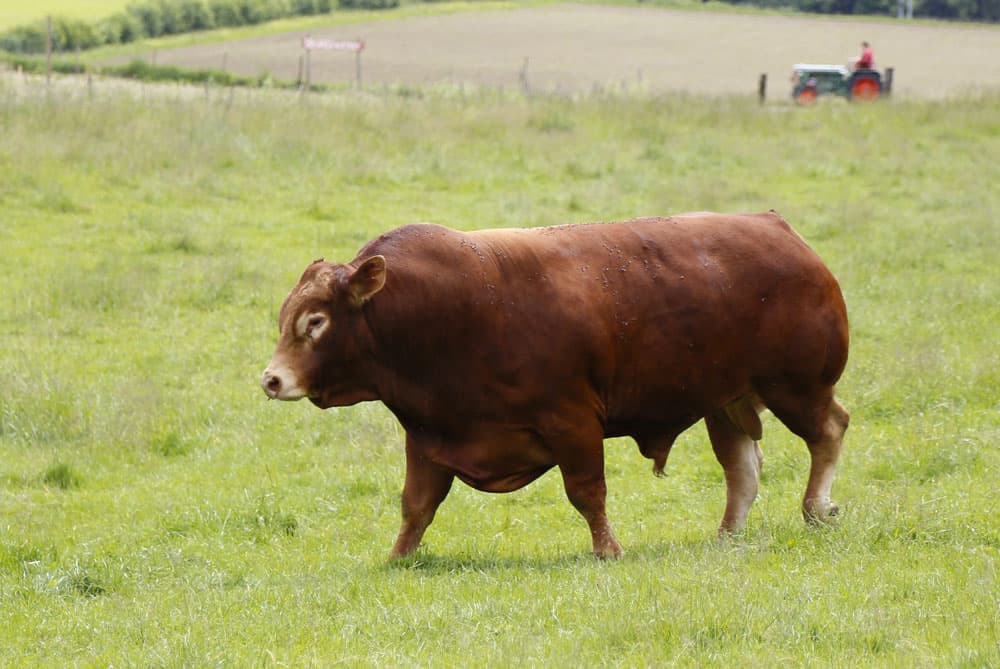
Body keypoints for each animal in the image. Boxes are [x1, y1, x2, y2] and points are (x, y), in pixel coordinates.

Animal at [262, 213, 848, 560]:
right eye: (286, 317)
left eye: (315, 321)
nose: (272, 378)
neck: (451, 312)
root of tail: (778, 229)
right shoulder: (428, 437)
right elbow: (416, 505)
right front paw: (398, 558)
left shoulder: (573, 422)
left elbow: (588, 492)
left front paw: (608, 551)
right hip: (726, 401)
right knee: (742, 466)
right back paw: (728, 534)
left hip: (797, 388)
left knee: (829, 431)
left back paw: (816, 506)